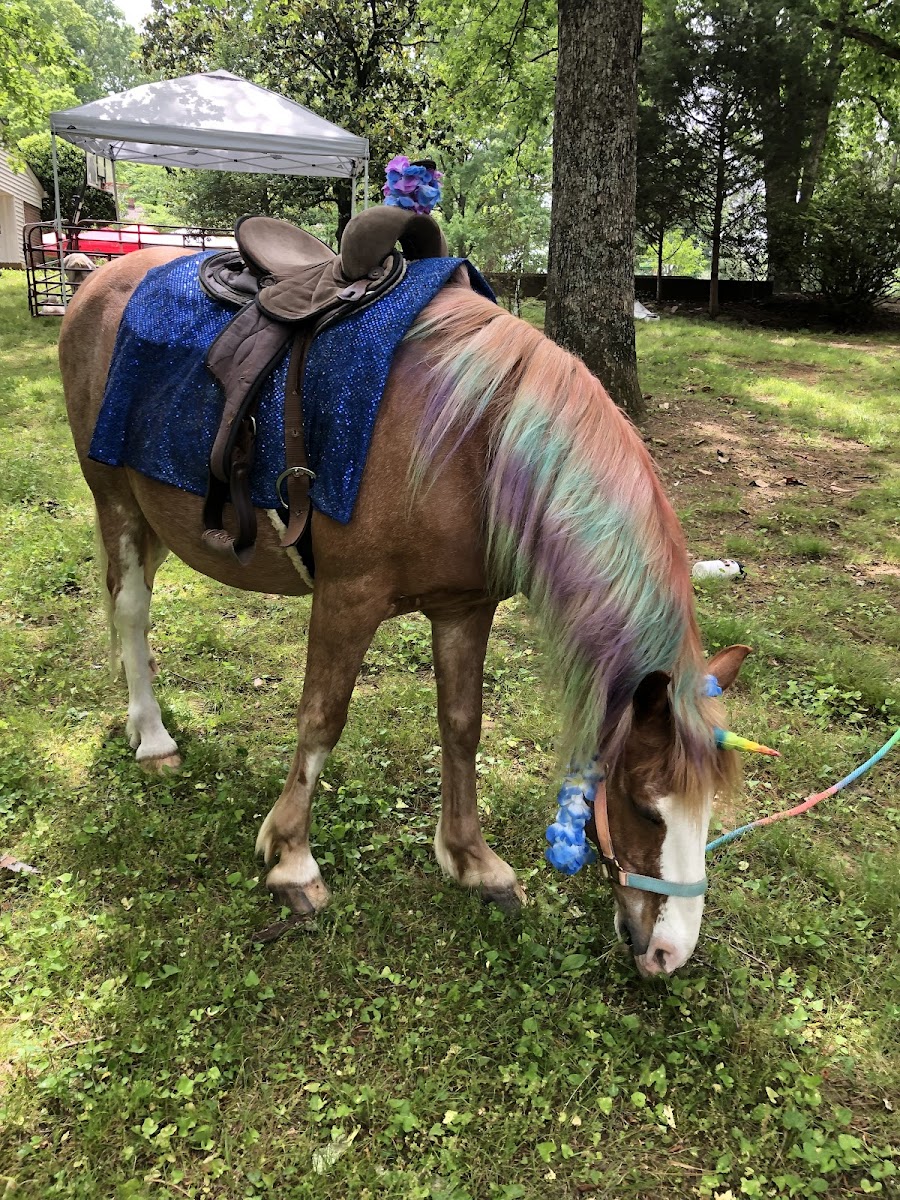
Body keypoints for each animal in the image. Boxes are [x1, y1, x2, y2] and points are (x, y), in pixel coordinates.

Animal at [59, 246, 747, 978]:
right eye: (646, 809)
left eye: (709, 808)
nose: (671, 952)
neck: (474, 443)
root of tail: (97, 278)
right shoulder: (348, 598)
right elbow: (322, 721)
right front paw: (293, 861)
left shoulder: (464, 609)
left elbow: (463, 727)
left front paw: (473, 862)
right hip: (116, 502)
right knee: (131, 611)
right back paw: (153, 737)